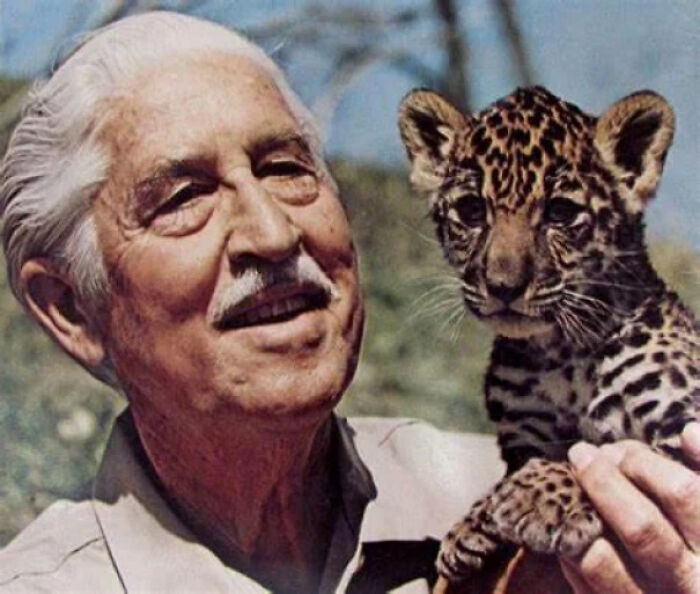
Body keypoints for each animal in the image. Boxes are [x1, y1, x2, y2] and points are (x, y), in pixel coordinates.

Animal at [397, 85, 700, 585]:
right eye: (470, 210)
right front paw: (472, 524)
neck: (563, 351)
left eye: (561, 212)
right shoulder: (523, 433)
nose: (503, 285)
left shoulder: (685, 418)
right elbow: (530, 462)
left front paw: (537, 500)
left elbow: (612, 453)